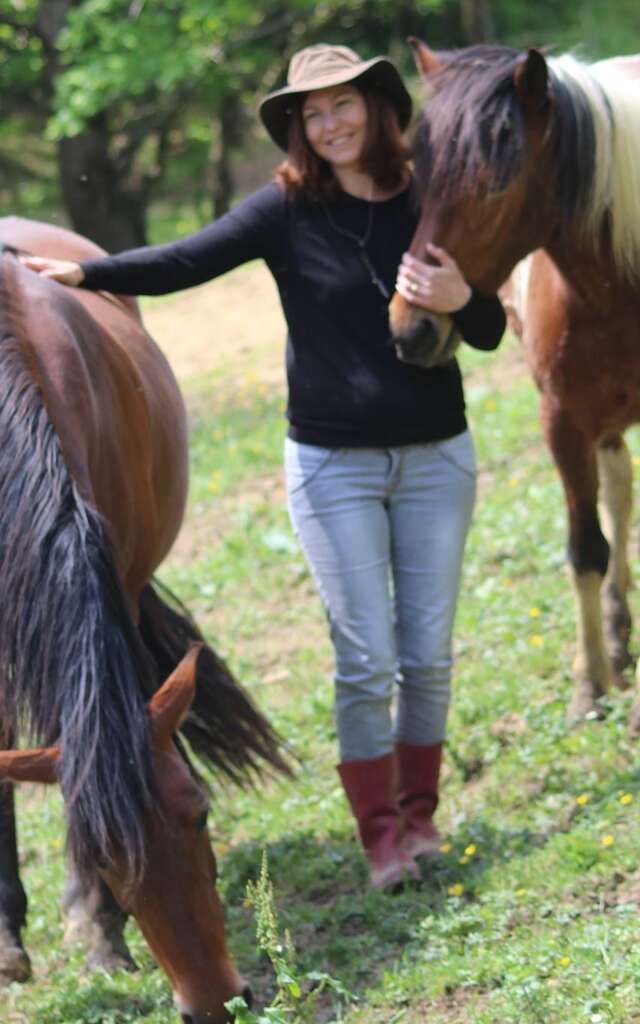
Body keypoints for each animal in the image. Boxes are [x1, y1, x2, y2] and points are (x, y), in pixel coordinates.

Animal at [0, 217, 289, 1024]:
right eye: (102, 851)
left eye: (200, 813)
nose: (215, 1004)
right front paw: (10, 936)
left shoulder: (114, 584)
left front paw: (98, 928)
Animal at [388, 40, 640, 734]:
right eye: (419, 173)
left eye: (498, 181)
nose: (411, 328)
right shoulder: (563, 421)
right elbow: (585, 549)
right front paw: (590, 684)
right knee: (618, 488)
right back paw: (617, 632)